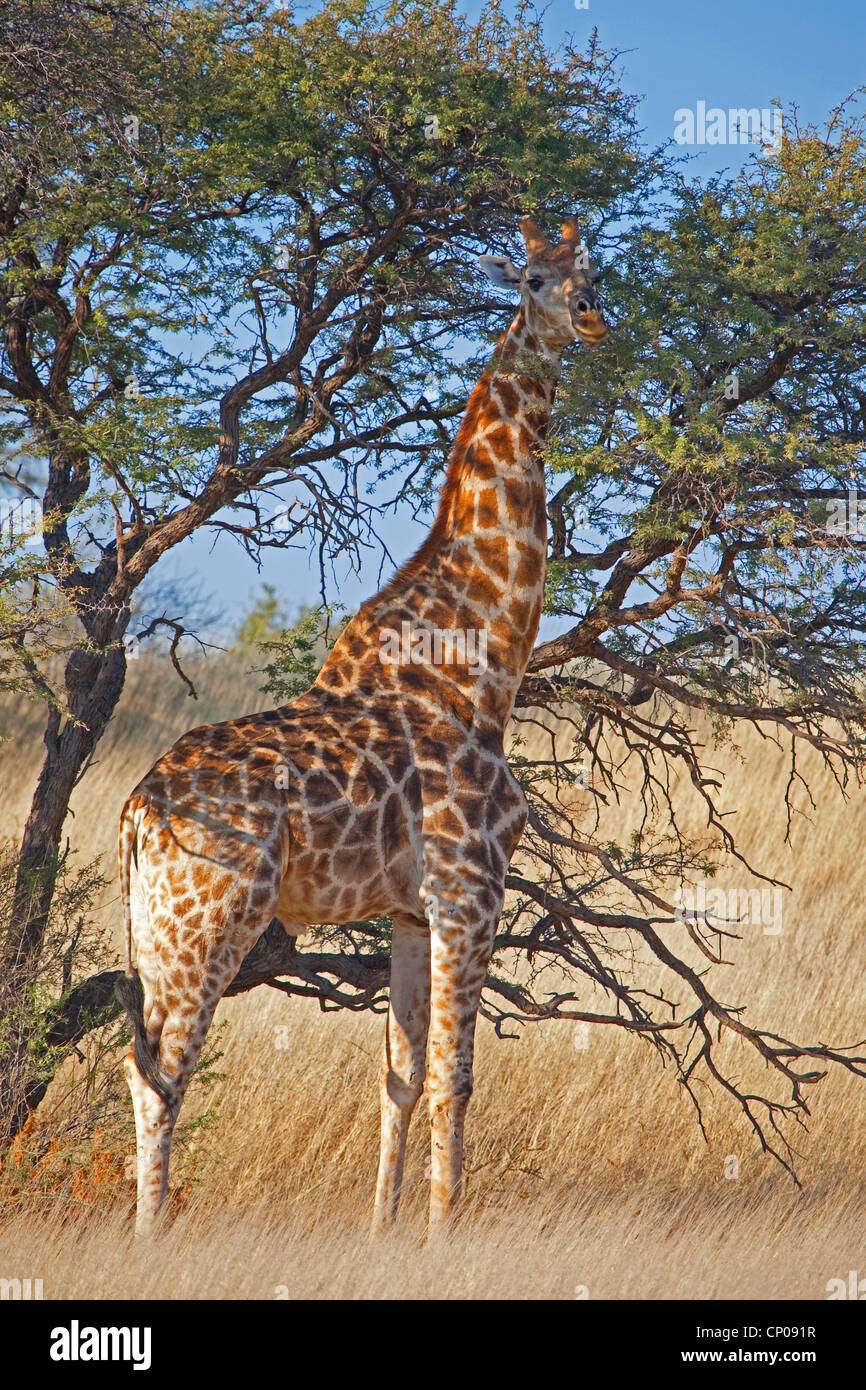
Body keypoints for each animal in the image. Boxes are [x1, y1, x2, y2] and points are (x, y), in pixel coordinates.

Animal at [115, 211, 606, 1234]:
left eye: (596, 272)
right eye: (533, 279)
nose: (589, 319)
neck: (481, 658)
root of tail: (138, 816)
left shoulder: (412, 912)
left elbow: (401, 1079)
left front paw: (386, 1233)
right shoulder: (470, 893)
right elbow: (458, 1080)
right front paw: (445, 1234)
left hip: (152, 933)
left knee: (144, 1065)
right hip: (204, 927)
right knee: (159, 1074)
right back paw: (154, 1234)